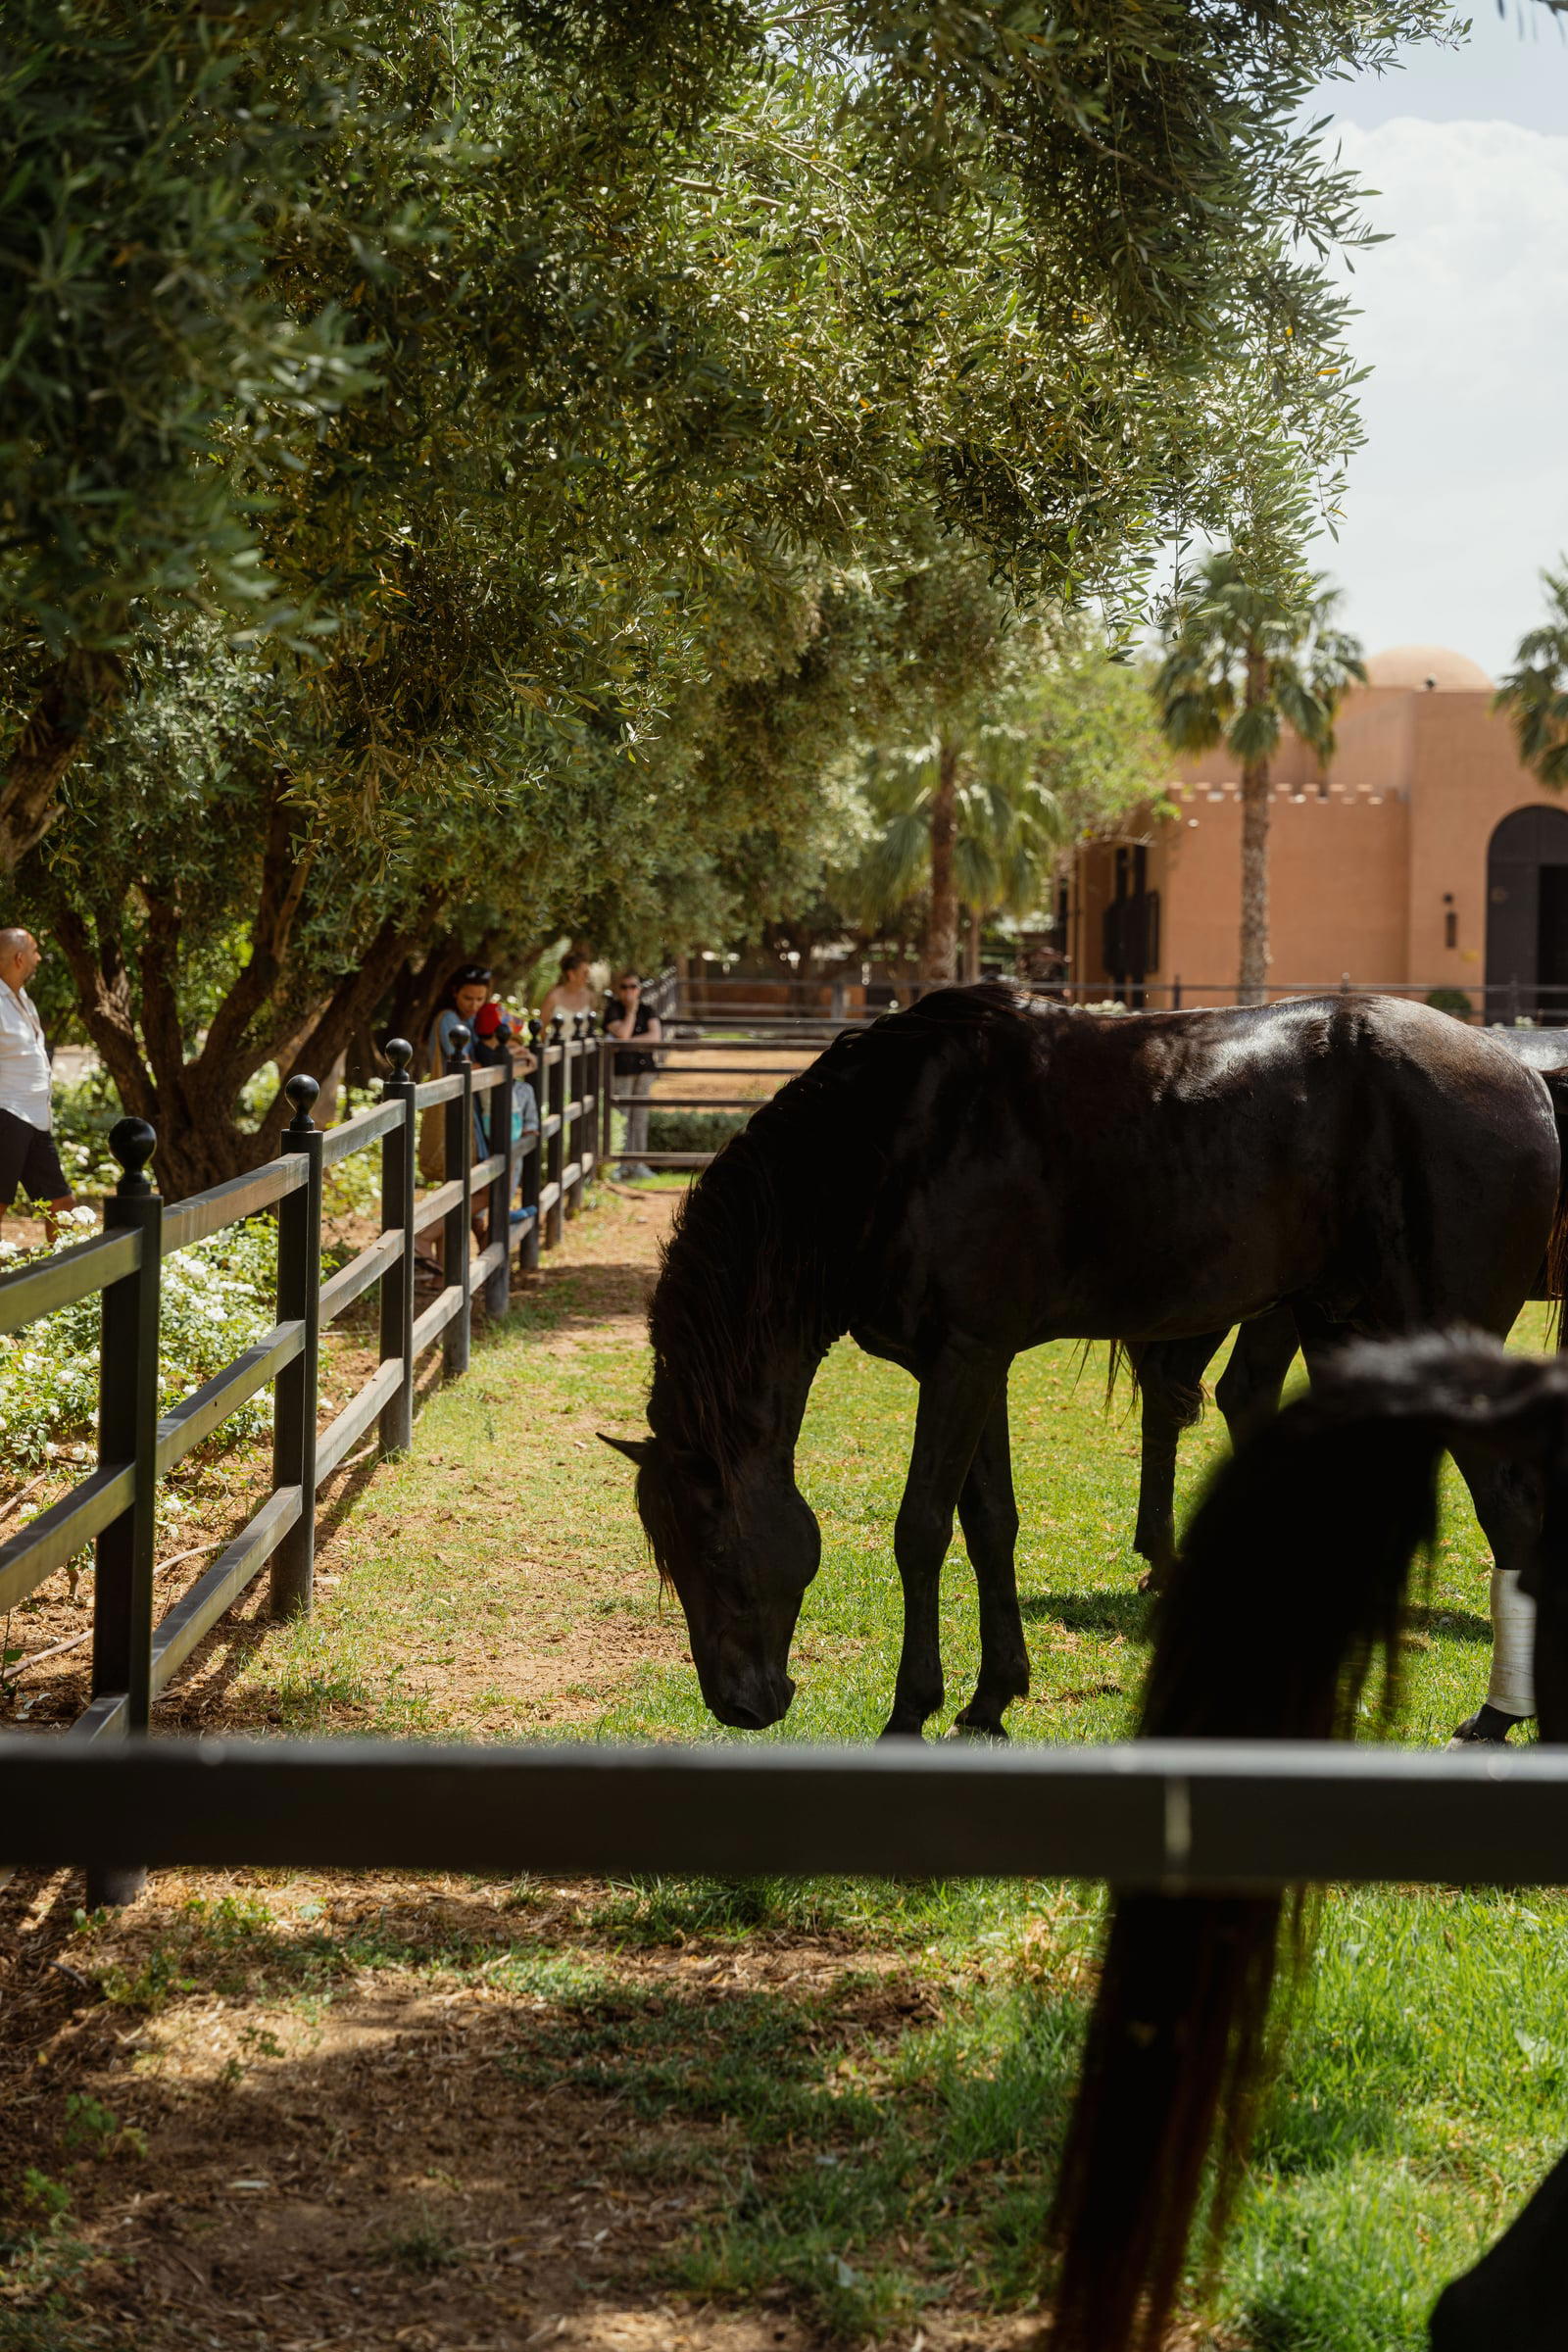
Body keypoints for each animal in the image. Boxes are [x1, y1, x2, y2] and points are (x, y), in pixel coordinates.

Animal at [605, 982, 1564, 1739]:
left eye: (713, 1544)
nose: (739, 1705)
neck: (896, 1143)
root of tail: (1523, 1079)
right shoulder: (972, 1364)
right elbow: (989, 1524)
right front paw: (991, 1699)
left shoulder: (961, 1362)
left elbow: (921, 1529)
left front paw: (912, 1710)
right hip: (1342, 1330)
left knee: (1514, 1511)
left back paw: (1495, 1719)